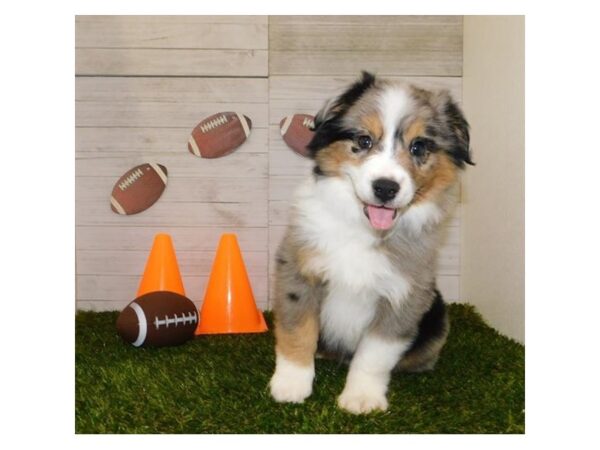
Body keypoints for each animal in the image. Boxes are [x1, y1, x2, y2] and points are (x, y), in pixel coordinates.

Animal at [270, 72, 472, 414]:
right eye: (364, 140)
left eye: (419, 146)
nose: (386, 188)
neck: (365, 231)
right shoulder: (298, 269)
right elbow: (298, 330)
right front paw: (291, 384)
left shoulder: (405, 296)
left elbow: (374, 355)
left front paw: (361, 397)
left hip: (437, 320)